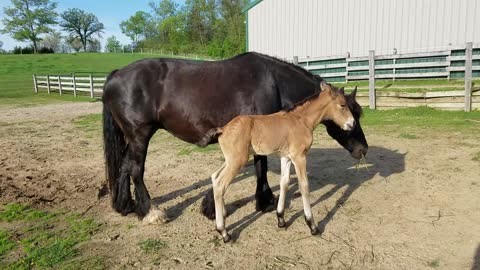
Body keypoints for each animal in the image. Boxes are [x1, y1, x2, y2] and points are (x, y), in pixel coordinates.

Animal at [101, 51, 368, 220]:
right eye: (348, 110)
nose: (362, 149)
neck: (273, 83)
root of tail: (116, 74)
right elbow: (260, 166)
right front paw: (263, 201)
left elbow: (258, 165)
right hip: (140, 135)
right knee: (136, 170)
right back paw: (149, 212)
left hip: (132, 138)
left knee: (124, 167)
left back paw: (124, 206)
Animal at [211, 81, 356, 242]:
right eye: (343, 105)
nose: (352, 123)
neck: (301, 119)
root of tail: (223, 129)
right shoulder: (299, 157)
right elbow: (304, 185)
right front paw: (312, 225)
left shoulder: (286, 157)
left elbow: (284, 183)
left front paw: (281, 219)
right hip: (237, 160)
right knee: (220, 184)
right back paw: (223, 231)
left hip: (230, 160)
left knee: (214, 177)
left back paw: (222, 217)